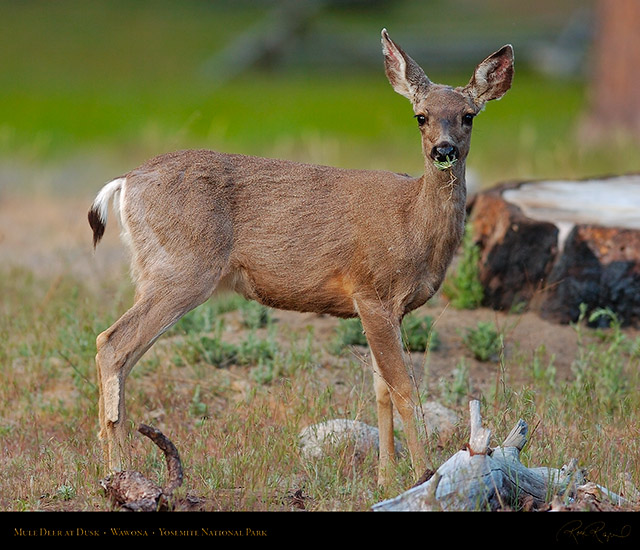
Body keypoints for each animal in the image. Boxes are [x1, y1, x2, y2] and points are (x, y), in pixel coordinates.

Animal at [89, 30, 516, 488]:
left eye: (468, 116)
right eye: (421, 116)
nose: (443, 149)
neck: (412, 224)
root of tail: (125, 181)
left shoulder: (390, 308)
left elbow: (380, 390)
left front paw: (385, 477)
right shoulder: (372, 292)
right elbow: (404, 387)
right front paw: (423, 474)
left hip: (156, 271)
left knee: (118, 351)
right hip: (181, 268)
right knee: (111, 342)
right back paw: (118, 472)